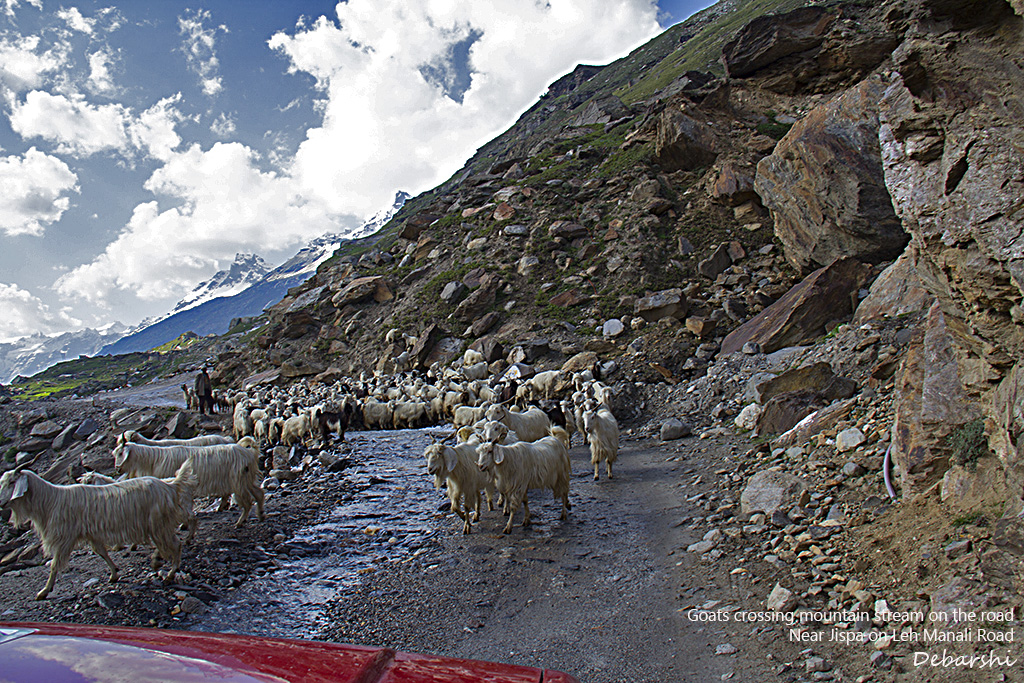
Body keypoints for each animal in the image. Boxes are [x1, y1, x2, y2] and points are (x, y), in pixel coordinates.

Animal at [0, 464, 195, 598]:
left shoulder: (65, 537)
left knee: (175, 544)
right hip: (155, 525)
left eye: (12, 482)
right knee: (165, 544)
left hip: (158, 523)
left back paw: (170, 572)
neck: (50, 501)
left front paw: (44, 591)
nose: (1, 503)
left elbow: (55, 564)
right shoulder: (90, 534)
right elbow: (101, 552)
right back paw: (158, 562)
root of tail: (170, 486)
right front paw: (114, 574)